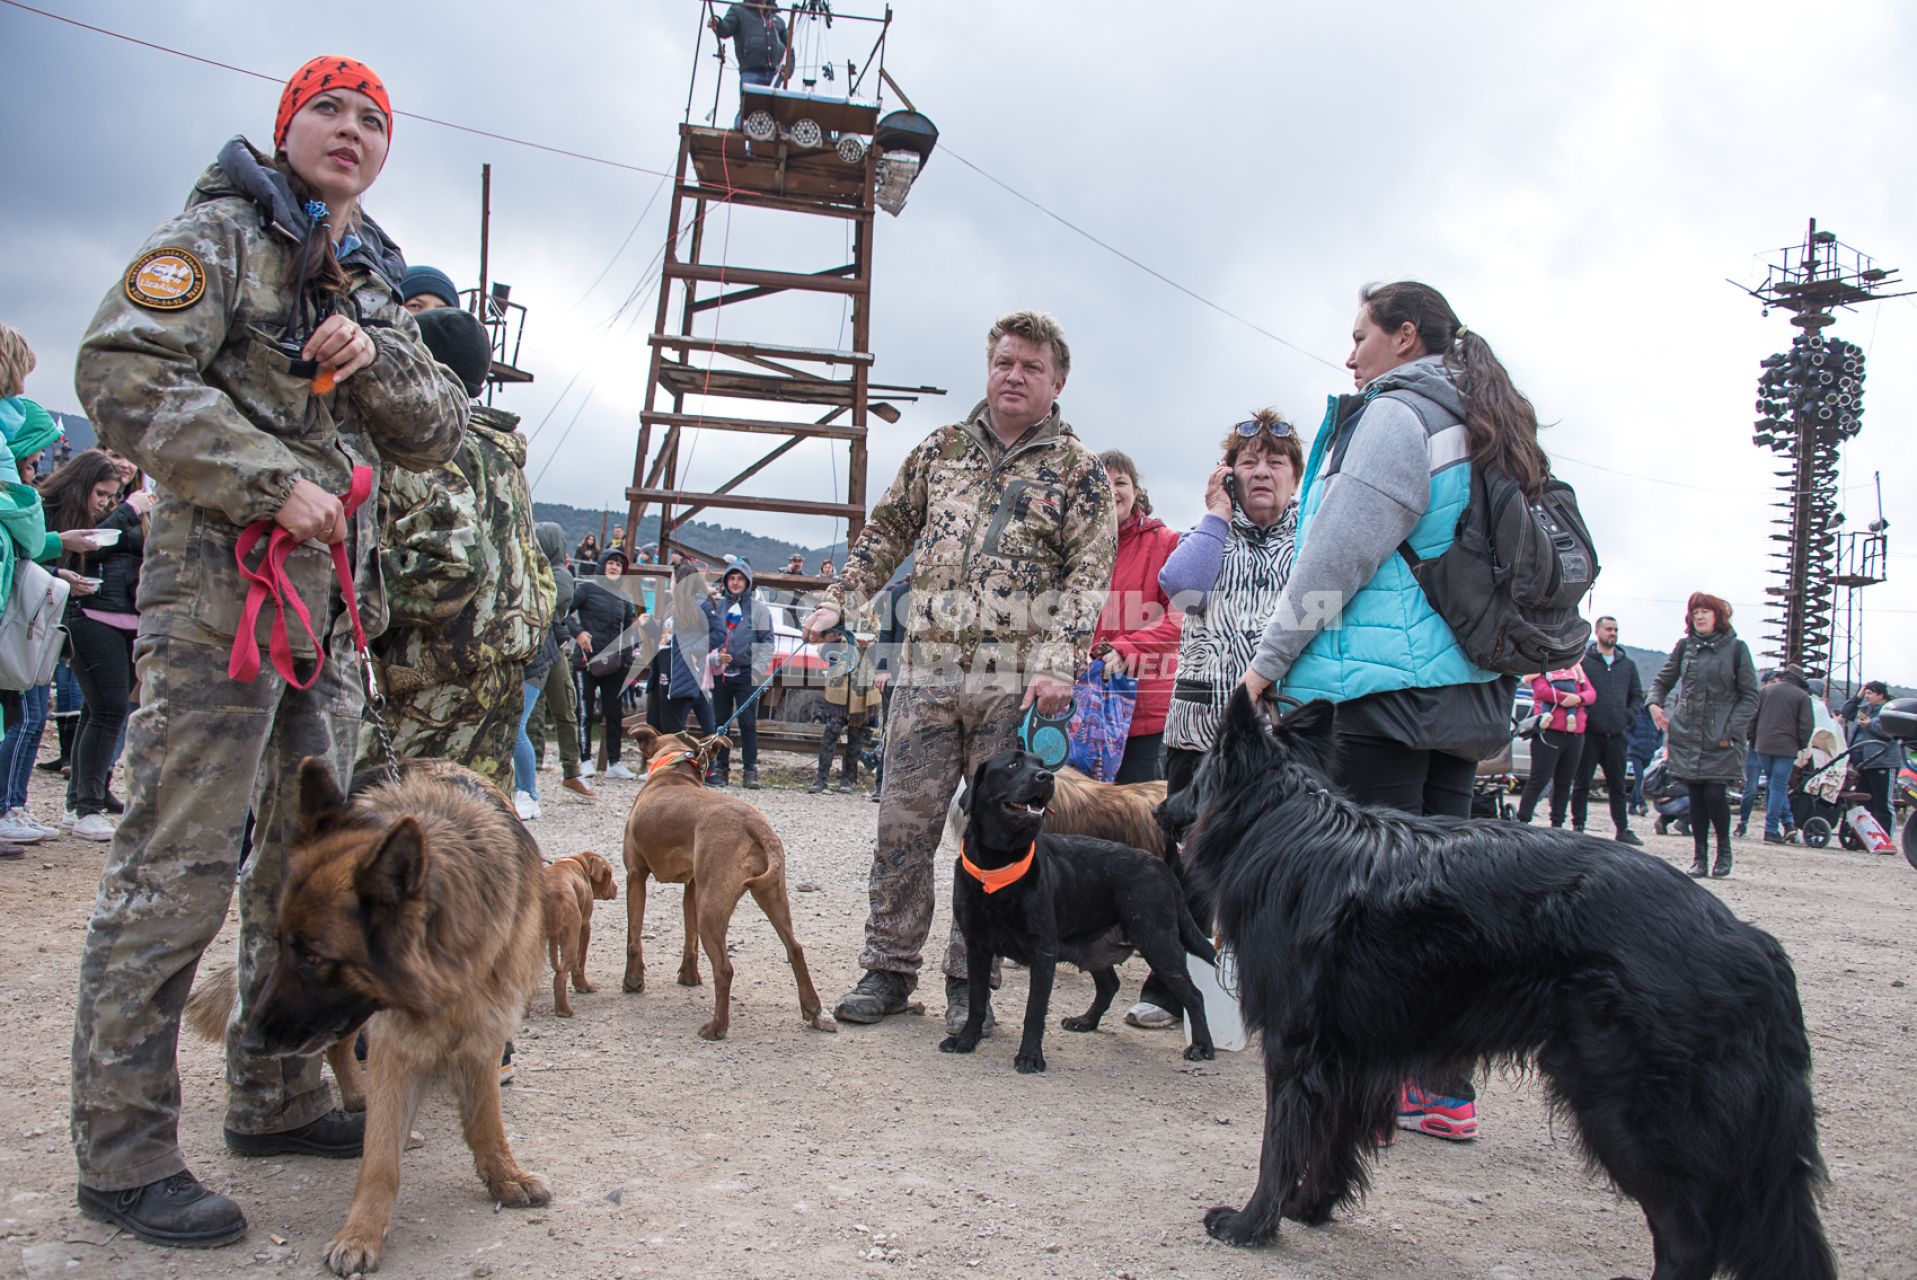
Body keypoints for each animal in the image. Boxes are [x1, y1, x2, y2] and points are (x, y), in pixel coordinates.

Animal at [544, 850, 617, 1019]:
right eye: (609, 874)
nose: (617, 887)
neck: (578, 861)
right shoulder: (584, 926)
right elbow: (581, 960)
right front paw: (583, 986)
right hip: (572, 935)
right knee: (561, 975)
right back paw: (564, 1010)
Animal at [624, 728, 835, 1042]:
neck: (674, 771)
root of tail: (754, 823)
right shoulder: (692, 887)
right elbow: (689, 938)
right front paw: (688, 977)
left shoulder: (635, 875)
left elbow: (634, 936)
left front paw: (633, 981)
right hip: (770, 895)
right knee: (795, 948)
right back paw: (813, 1009)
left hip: (711, 910)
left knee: (724, 968)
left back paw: (716, 1028)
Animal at [939, 743, 1211, 1073]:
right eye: (1013, 764)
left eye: (1042, 764)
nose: (1045, 777)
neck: (998, 865)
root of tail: (1158, 866)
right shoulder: (977, 947)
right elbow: (977, 1001)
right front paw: (966, 1040)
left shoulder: (1043, 953)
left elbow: (1034, 1011)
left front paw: (1030, 1056)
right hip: (1097, 946)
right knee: (1109, 985)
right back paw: (1086, 1021)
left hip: (1158, 943)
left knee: (1194, 995)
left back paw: (1202, 1046)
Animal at [1157, 689, 1832, 1280]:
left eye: (1196, 773)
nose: (1162, 810)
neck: (1283, 823)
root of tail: (1751, 941)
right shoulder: (1353, 1058)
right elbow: (1330, 1144)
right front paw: (1311, 1208)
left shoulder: (1293, 1051)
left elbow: (1278, 1147)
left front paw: (1251, 1226)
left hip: (1627, 1112)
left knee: (1690, 1242)